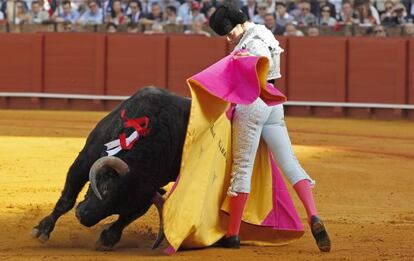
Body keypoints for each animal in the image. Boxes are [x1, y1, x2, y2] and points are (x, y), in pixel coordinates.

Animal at [32, 86, 191, 249]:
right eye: (104, 189)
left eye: (120, 207)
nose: (82, 217)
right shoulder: (85, 159)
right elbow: (67, 200)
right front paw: (42, 229)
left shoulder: (145, 195)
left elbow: (128, 218)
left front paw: (107, 238)